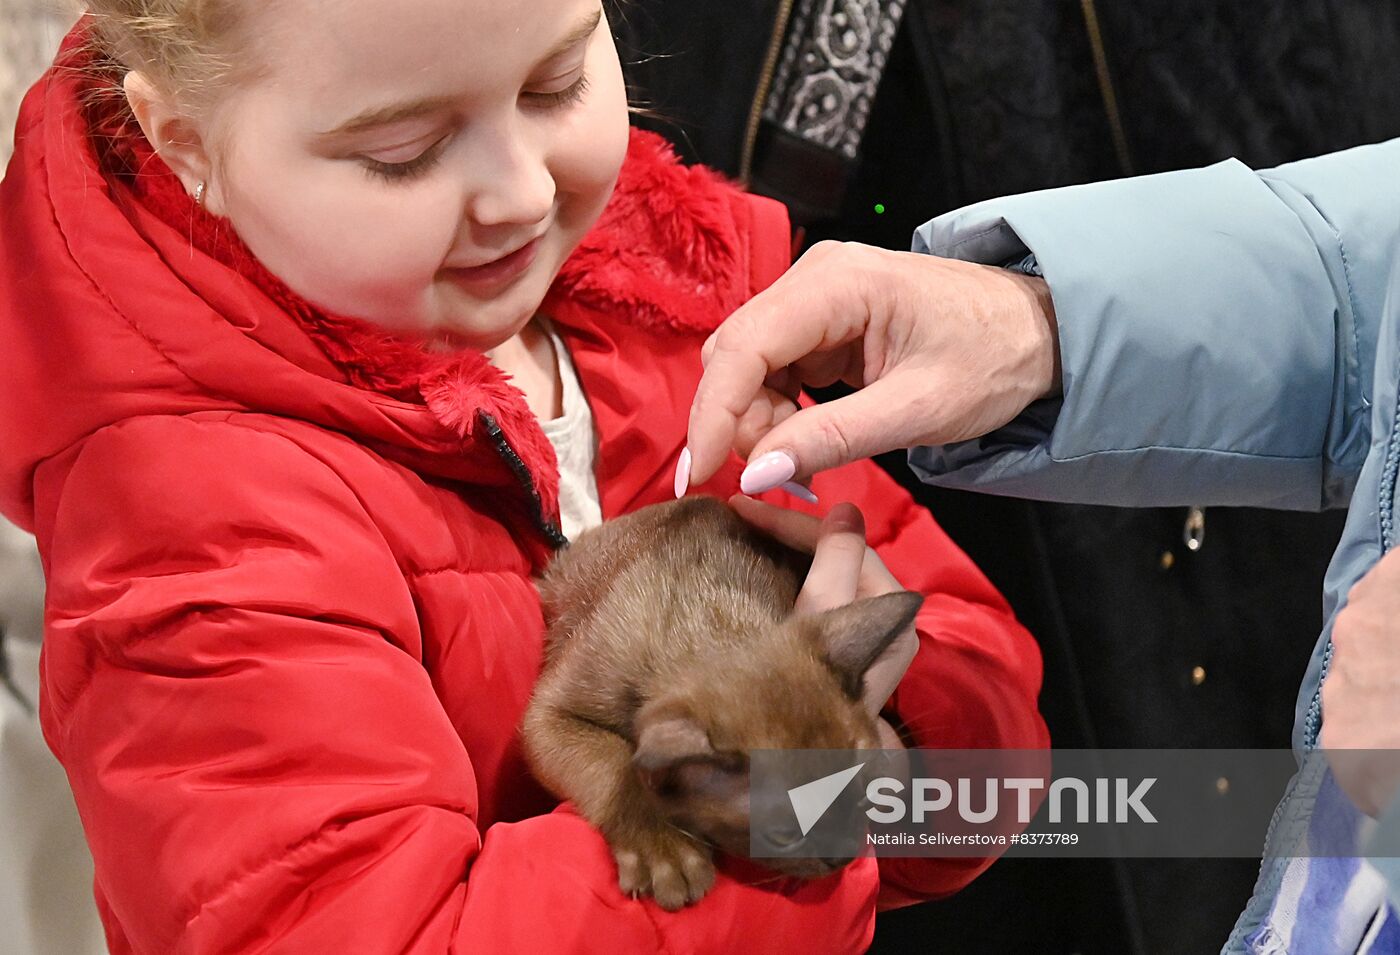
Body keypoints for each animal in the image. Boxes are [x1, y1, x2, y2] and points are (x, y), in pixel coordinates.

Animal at [520, 498, 924, 907]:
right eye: (783, 836)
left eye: (865, 797)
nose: (843, 858)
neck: (710, 619)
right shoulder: (547, 714)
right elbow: (615, 763)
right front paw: (665, 851)